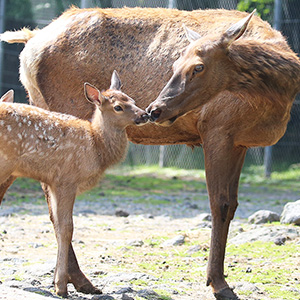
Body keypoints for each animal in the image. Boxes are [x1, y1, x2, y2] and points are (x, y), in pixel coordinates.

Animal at [0, 71, 149, 298]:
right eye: (118, 107)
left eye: (132, 100)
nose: (145, 115)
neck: (95, 146)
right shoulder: (66, 179)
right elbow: (66, 228)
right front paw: (61, 286)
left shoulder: (53, 182)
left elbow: (57, 224)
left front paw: (56, 281)